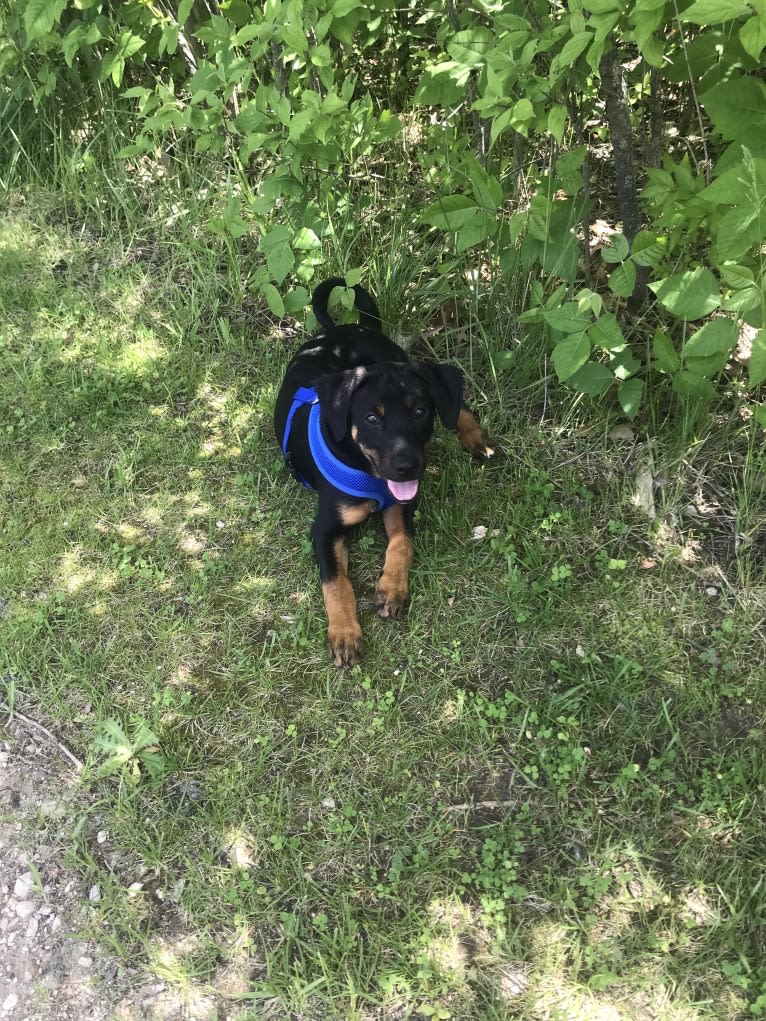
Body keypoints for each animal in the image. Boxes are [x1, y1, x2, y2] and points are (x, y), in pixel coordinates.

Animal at [273, 275, 492, 665]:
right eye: (372, 418)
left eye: (419, 411)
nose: (407, 468)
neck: (368, 472)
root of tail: (351, 328)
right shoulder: (324, 530)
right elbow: (336, 583)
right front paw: (344, 633)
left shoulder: (401, 506)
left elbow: (402, 544)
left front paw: (391, 588)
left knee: (455, 403)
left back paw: (474, 436)